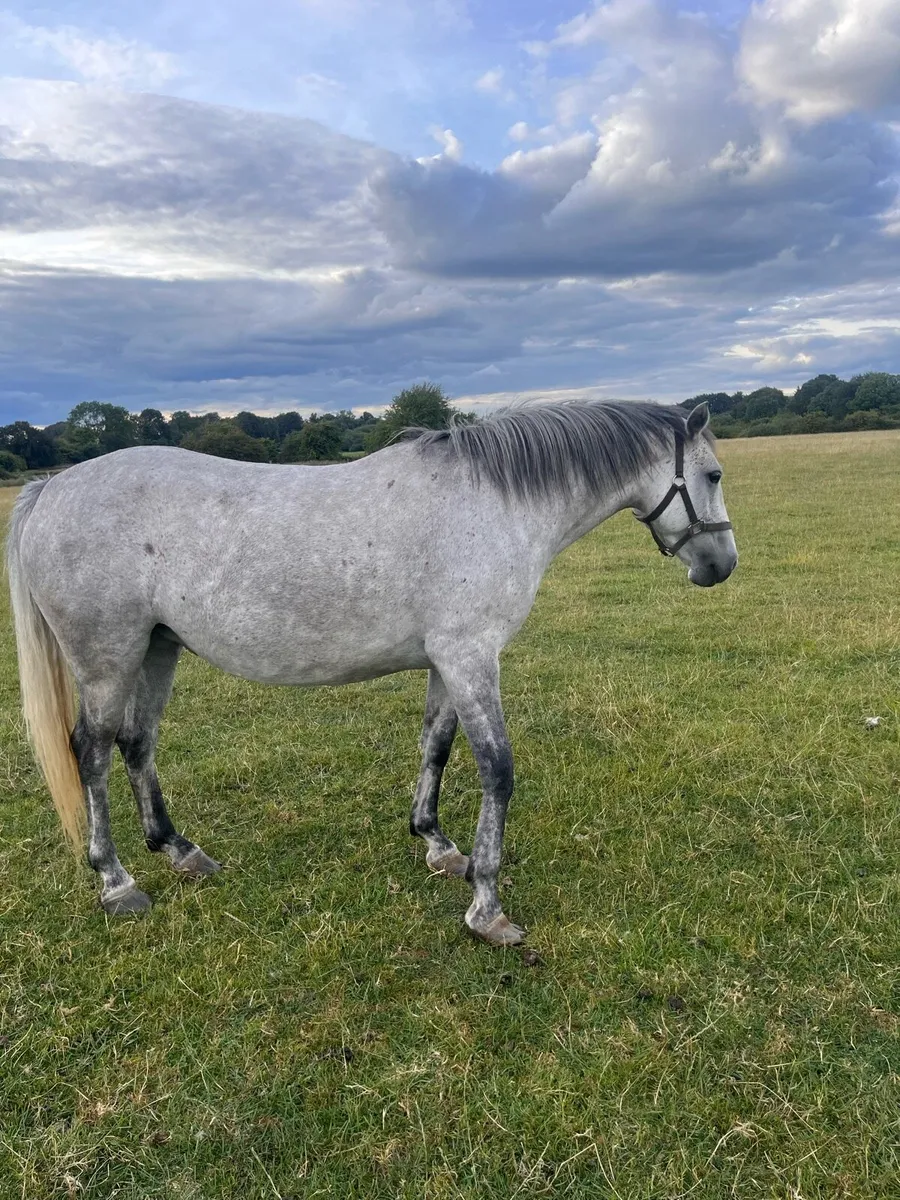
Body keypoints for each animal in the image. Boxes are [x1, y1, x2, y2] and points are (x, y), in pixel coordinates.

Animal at [6, 399, 736, 946]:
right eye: (715, 475)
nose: (721, 565)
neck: (491, 503)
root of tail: (51, 488)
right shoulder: (472, 656)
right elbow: (497, 769)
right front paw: (487, 906)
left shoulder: (447, 660)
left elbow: (436, 745)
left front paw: (438, 846)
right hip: (108, 658)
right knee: (92, 752)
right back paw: (116, 881)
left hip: (157, 648)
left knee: (138, 744)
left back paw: (181, 851)